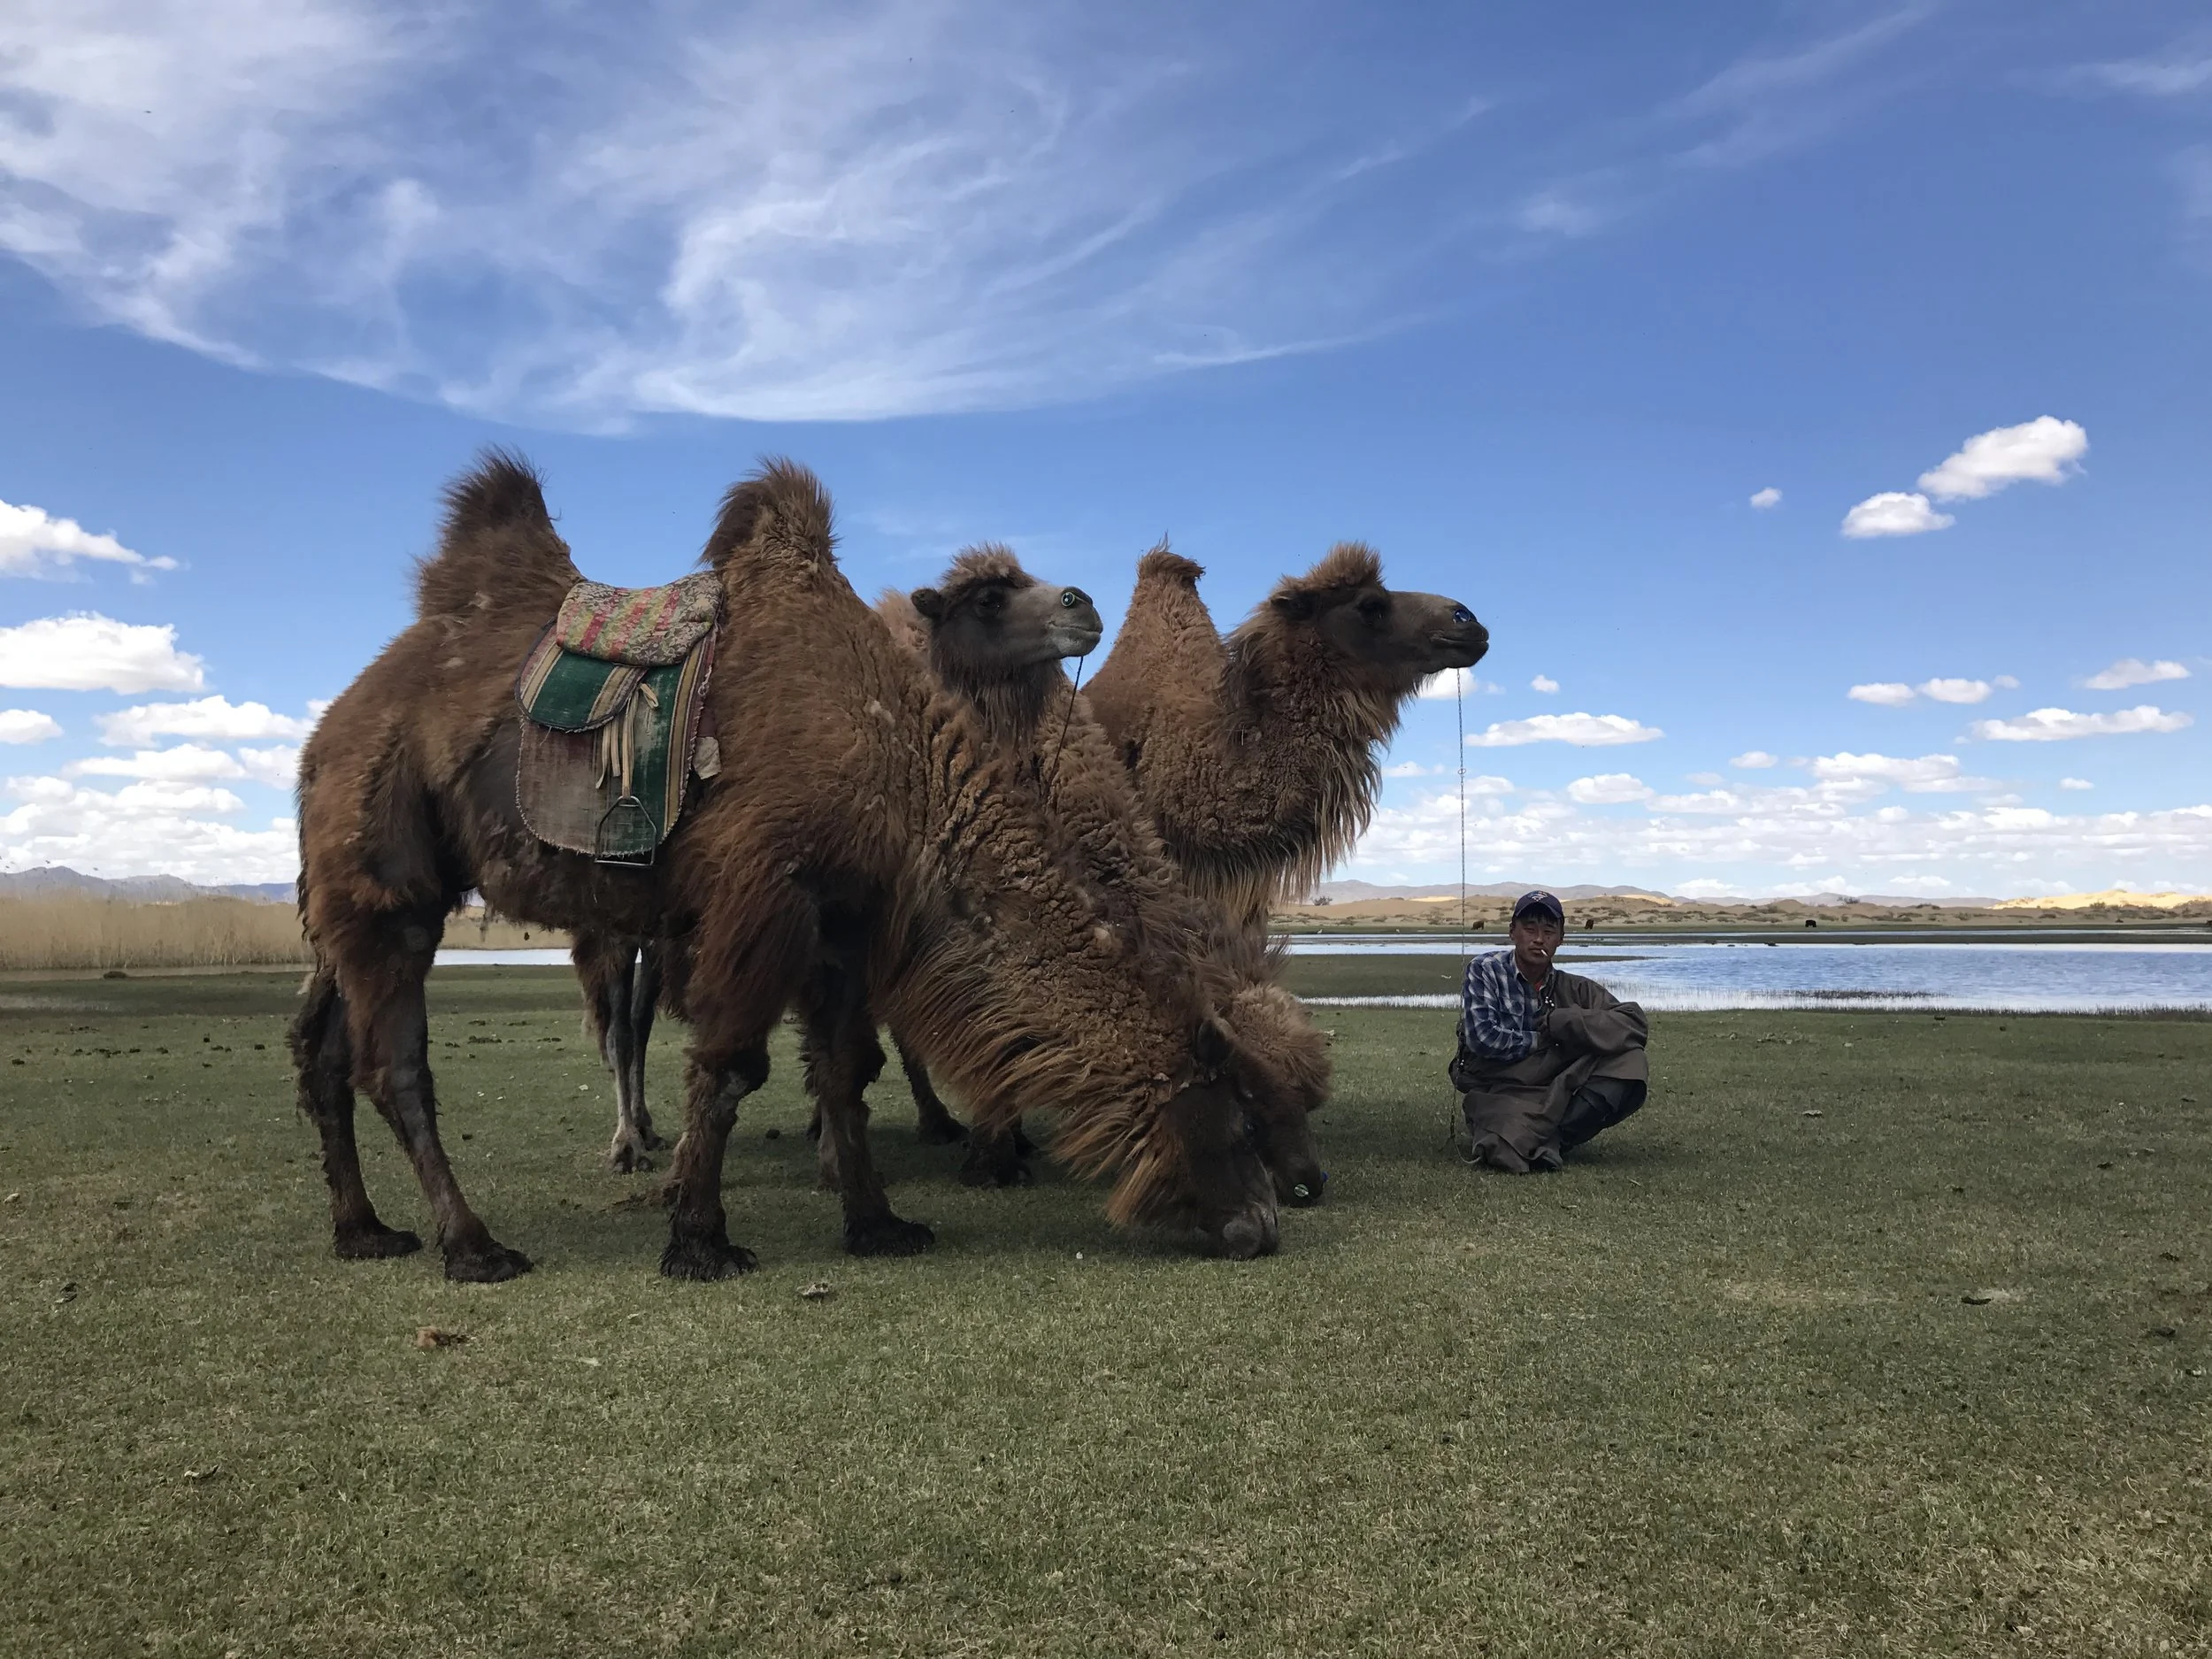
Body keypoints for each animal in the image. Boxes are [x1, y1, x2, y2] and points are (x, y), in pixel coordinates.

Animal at [289, 453, 1284, 1282]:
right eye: (1241, 1109)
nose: (1268, 1220)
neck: (898, 757)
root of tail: (330, 727)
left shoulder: (847, 914)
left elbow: (845, 1069)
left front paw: (878, 1222)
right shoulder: (763, 887)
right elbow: (731, 1066)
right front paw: (699, 1239)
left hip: (345, 901)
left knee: (322, 1049)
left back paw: (364, 1230)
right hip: (387, 866)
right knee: (396, 1064)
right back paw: (474, 1245)